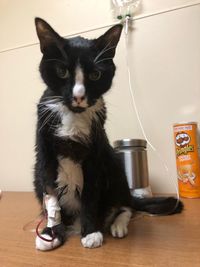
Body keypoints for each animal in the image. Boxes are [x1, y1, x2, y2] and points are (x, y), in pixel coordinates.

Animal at [34, 18, 183, 251]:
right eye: (62, 71)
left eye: (95, 75)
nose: (79, 96)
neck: (73, 115)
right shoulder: (45, 151)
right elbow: (51, 195)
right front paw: (52, 233)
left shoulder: (95, 156)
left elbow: (90, 195)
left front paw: (90, 232)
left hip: (113, 164)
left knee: (126, 205)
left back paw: (117, 224)